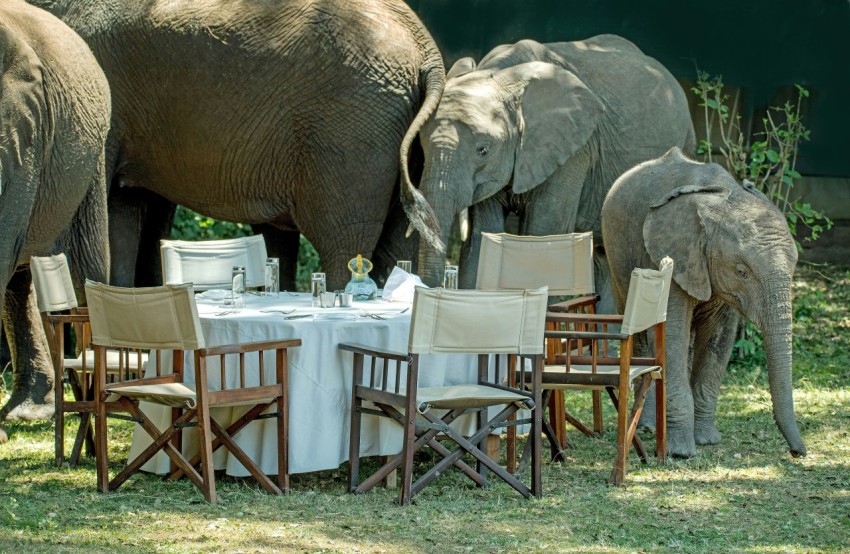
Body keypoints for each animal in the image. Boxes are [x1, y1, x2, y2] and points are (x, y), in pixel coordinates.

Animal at [399, 35, 695, 300]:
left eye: (483, 150)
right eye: (422, 148)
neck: (503, 75)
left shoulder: (574, 150)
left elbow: (542, 235)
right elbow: (484, 236)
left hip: (684, 143)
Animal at [601, 146, 806, 459]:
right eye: (742, 271)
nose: (798, 452)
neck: (723, 197)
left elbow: (718, 339)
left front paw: (707, 440)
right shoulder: (674, 255)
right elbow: (671, 335)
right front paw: (681, 452)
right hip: (616, 256)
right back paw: (647, 427)